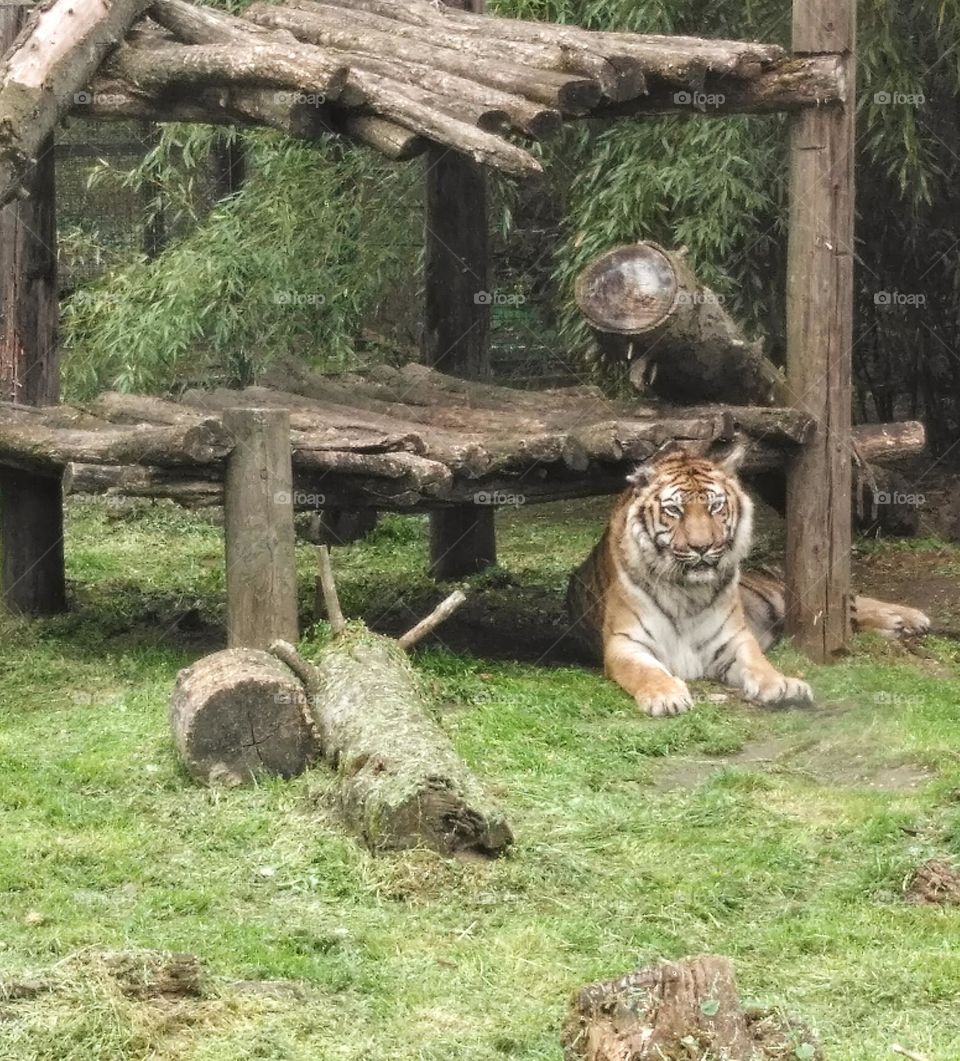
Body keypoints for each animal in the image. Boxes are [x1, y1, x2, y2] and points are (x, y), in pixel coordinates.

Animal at [566, 440, 930, 716]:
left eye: (715, 507)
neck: (687, 592)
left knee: (852, 604)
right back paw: (898, 625)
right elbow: (645, 671)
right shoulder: (625, 643)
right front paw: (665, 695)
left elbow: (758, 663)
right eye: (674, 510)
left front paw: (782, 685)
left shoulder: (734, 638)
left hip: (787, 598)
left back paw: (909, 618)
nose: (702, 547)